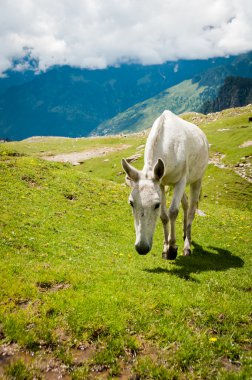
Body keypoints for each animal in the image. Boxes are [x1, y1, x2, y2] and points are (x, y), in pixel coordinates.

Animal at [122, 108, 209, 260]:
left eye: (156, 204)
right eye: (131, 203)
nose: (142, 248)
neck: (171, 148)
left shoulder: (181, 181)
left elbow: (173, 211)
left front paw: (172, 249)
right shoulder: (161, 184)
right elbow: (164, 216)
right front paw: (165, 248)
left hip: (196, 180)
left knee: (191, 209)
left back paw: (187, 246)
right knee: (185, 203)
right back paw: (184, 233)